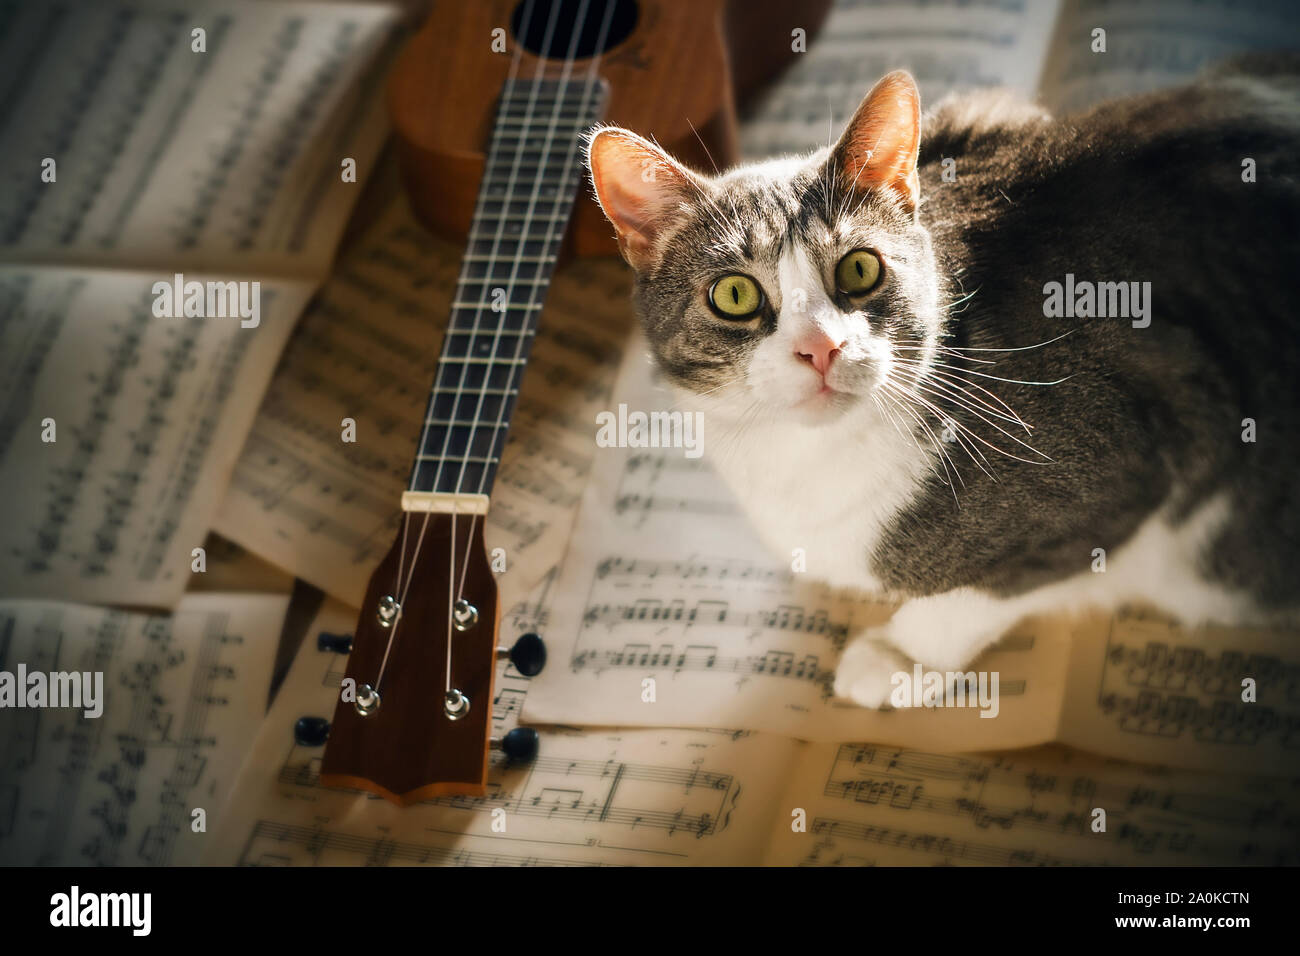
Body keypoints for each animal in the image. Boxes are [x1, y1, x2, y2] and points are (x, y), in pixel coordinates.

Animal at [587, 55, 1300, 707]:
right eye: (734, 295)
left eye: (860, 269)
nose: (822, 347)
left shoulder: (1133, 469)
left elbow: (983, 591)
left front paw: (899, 656)